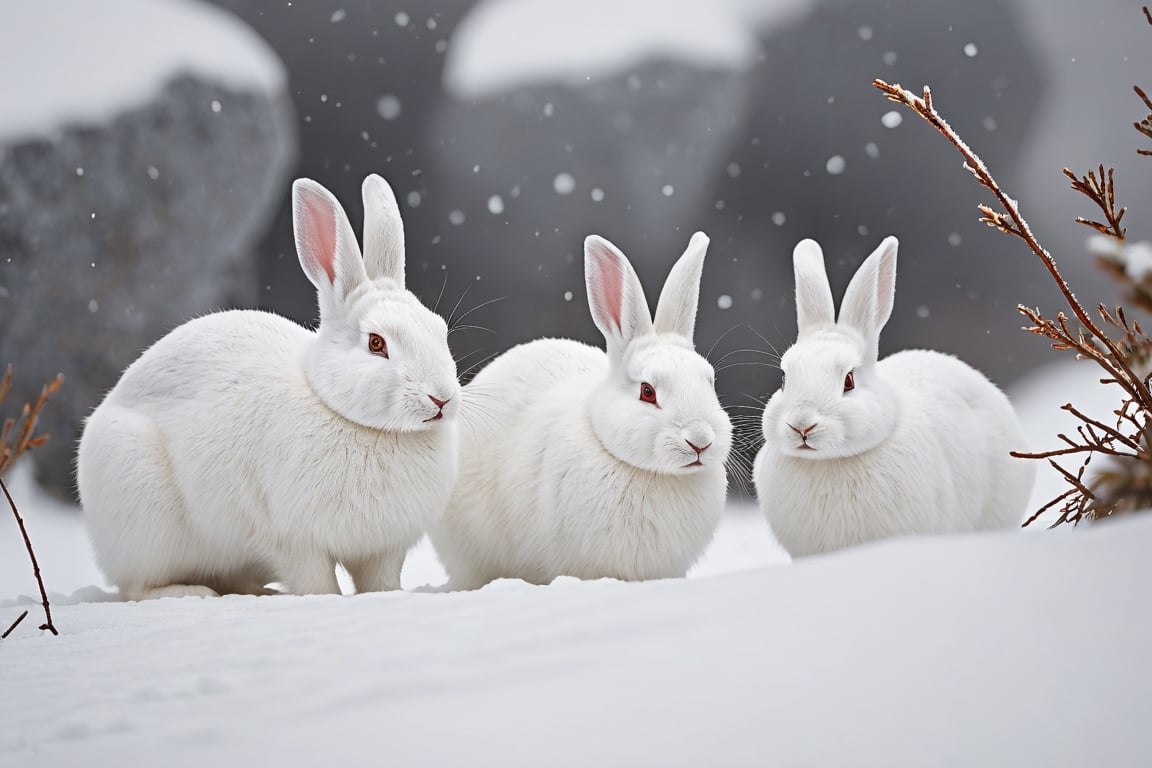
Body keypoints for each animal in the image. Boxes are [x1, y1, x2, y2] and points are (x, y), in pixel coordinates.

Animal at [75, 176, 463, 598]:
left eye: (440, 330)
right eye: (377, 343)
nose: (441, 398)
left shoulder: (383, 549)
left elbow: (381, 581)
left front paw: (389, 597)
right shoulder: (294, 539)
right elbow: (315, 579)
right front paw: (323, 600)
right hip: (145, 517)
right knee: (136, 586)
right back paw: (191, 592)